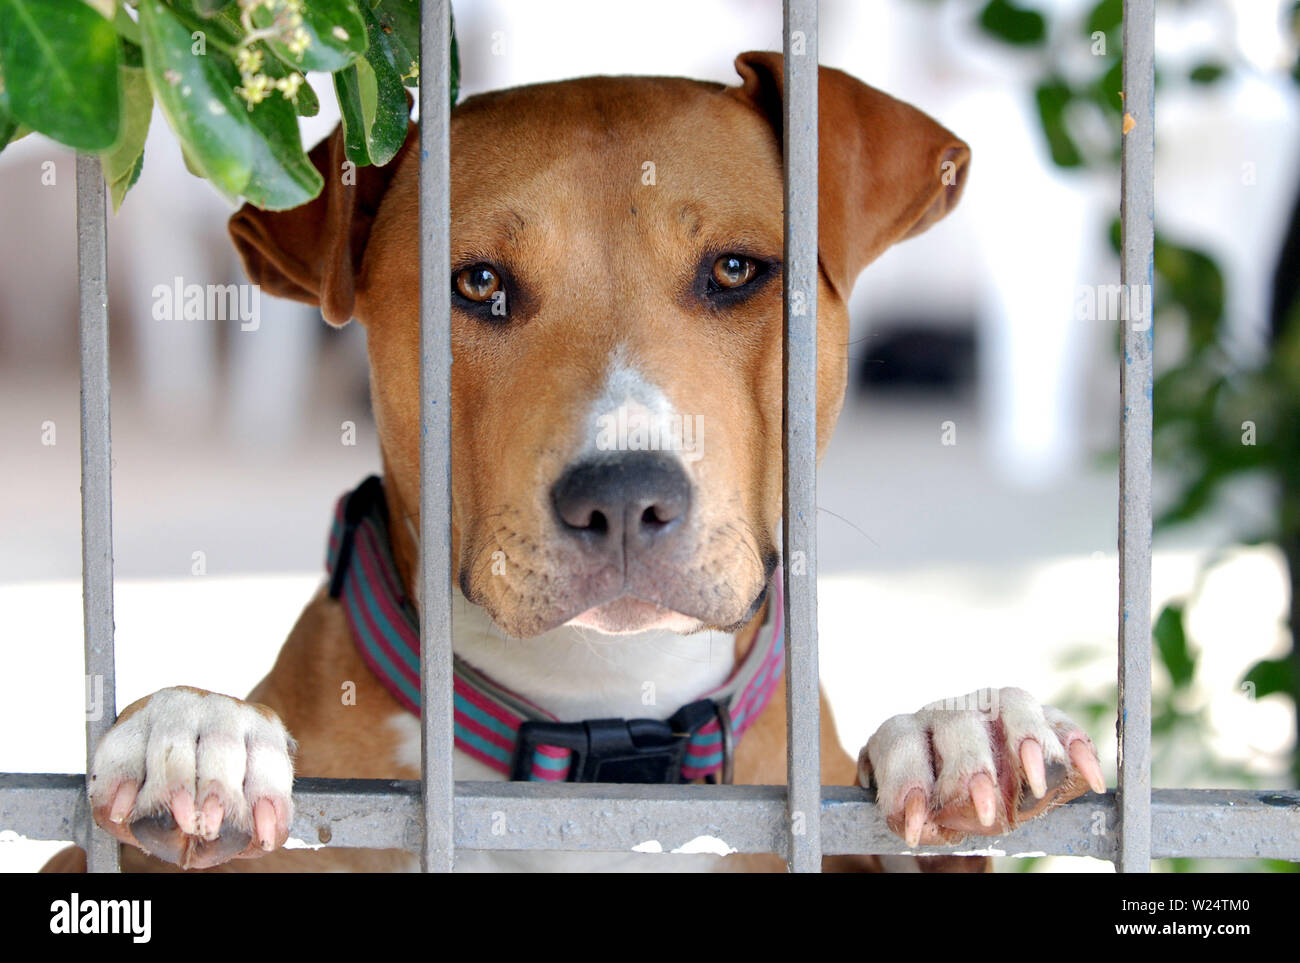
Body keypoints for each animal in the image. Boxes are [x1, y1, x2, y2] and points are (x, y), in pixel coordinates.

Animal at [48, 54, 1097, 878]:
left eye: (735, 270)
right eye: (477, 281)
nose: (625, 495)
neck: (602, 713)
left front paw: (955, 738)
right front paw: (197, 730)